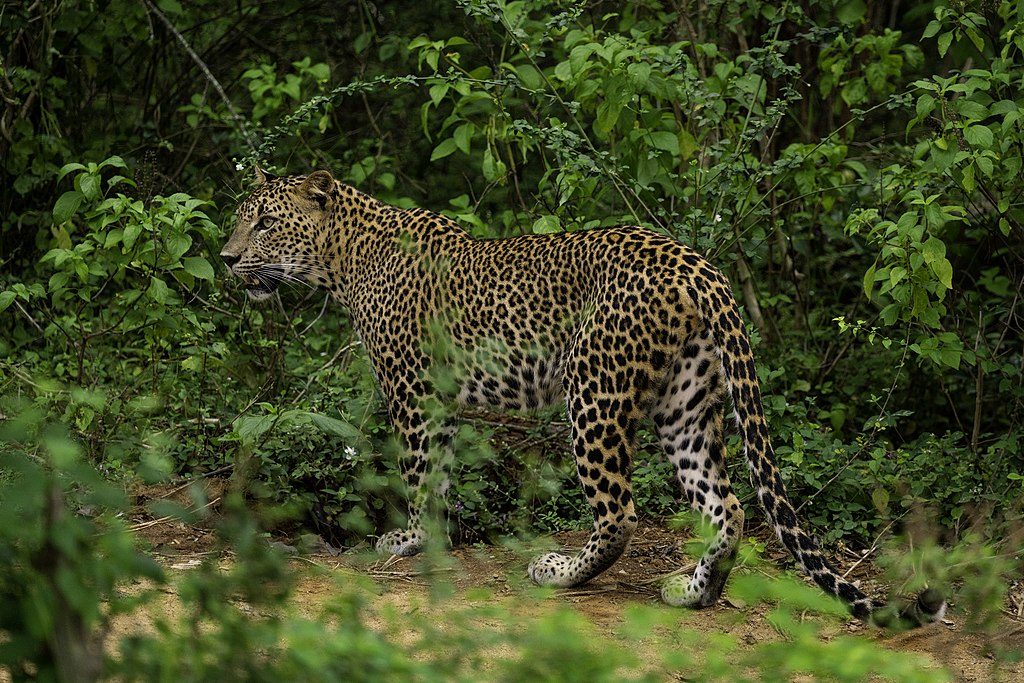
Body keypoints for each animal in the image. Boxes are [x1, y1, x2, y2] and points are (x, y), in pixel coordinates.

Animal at [222, 167, 942, 626]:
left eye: (265, 224)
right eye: (238, 222)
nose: (226, 258)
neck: (344, 259)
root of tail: (703, 269)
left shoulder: (413, 391)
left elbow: (420, 473)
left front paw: (407, 539)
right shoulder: (442, 401)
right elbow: (443, 474)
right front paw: (435, 537)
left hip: (592, 388)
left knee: (620, 512)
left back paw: (560, 570)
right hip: (685, 404)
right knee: (729, 505)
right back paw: (694, 591)